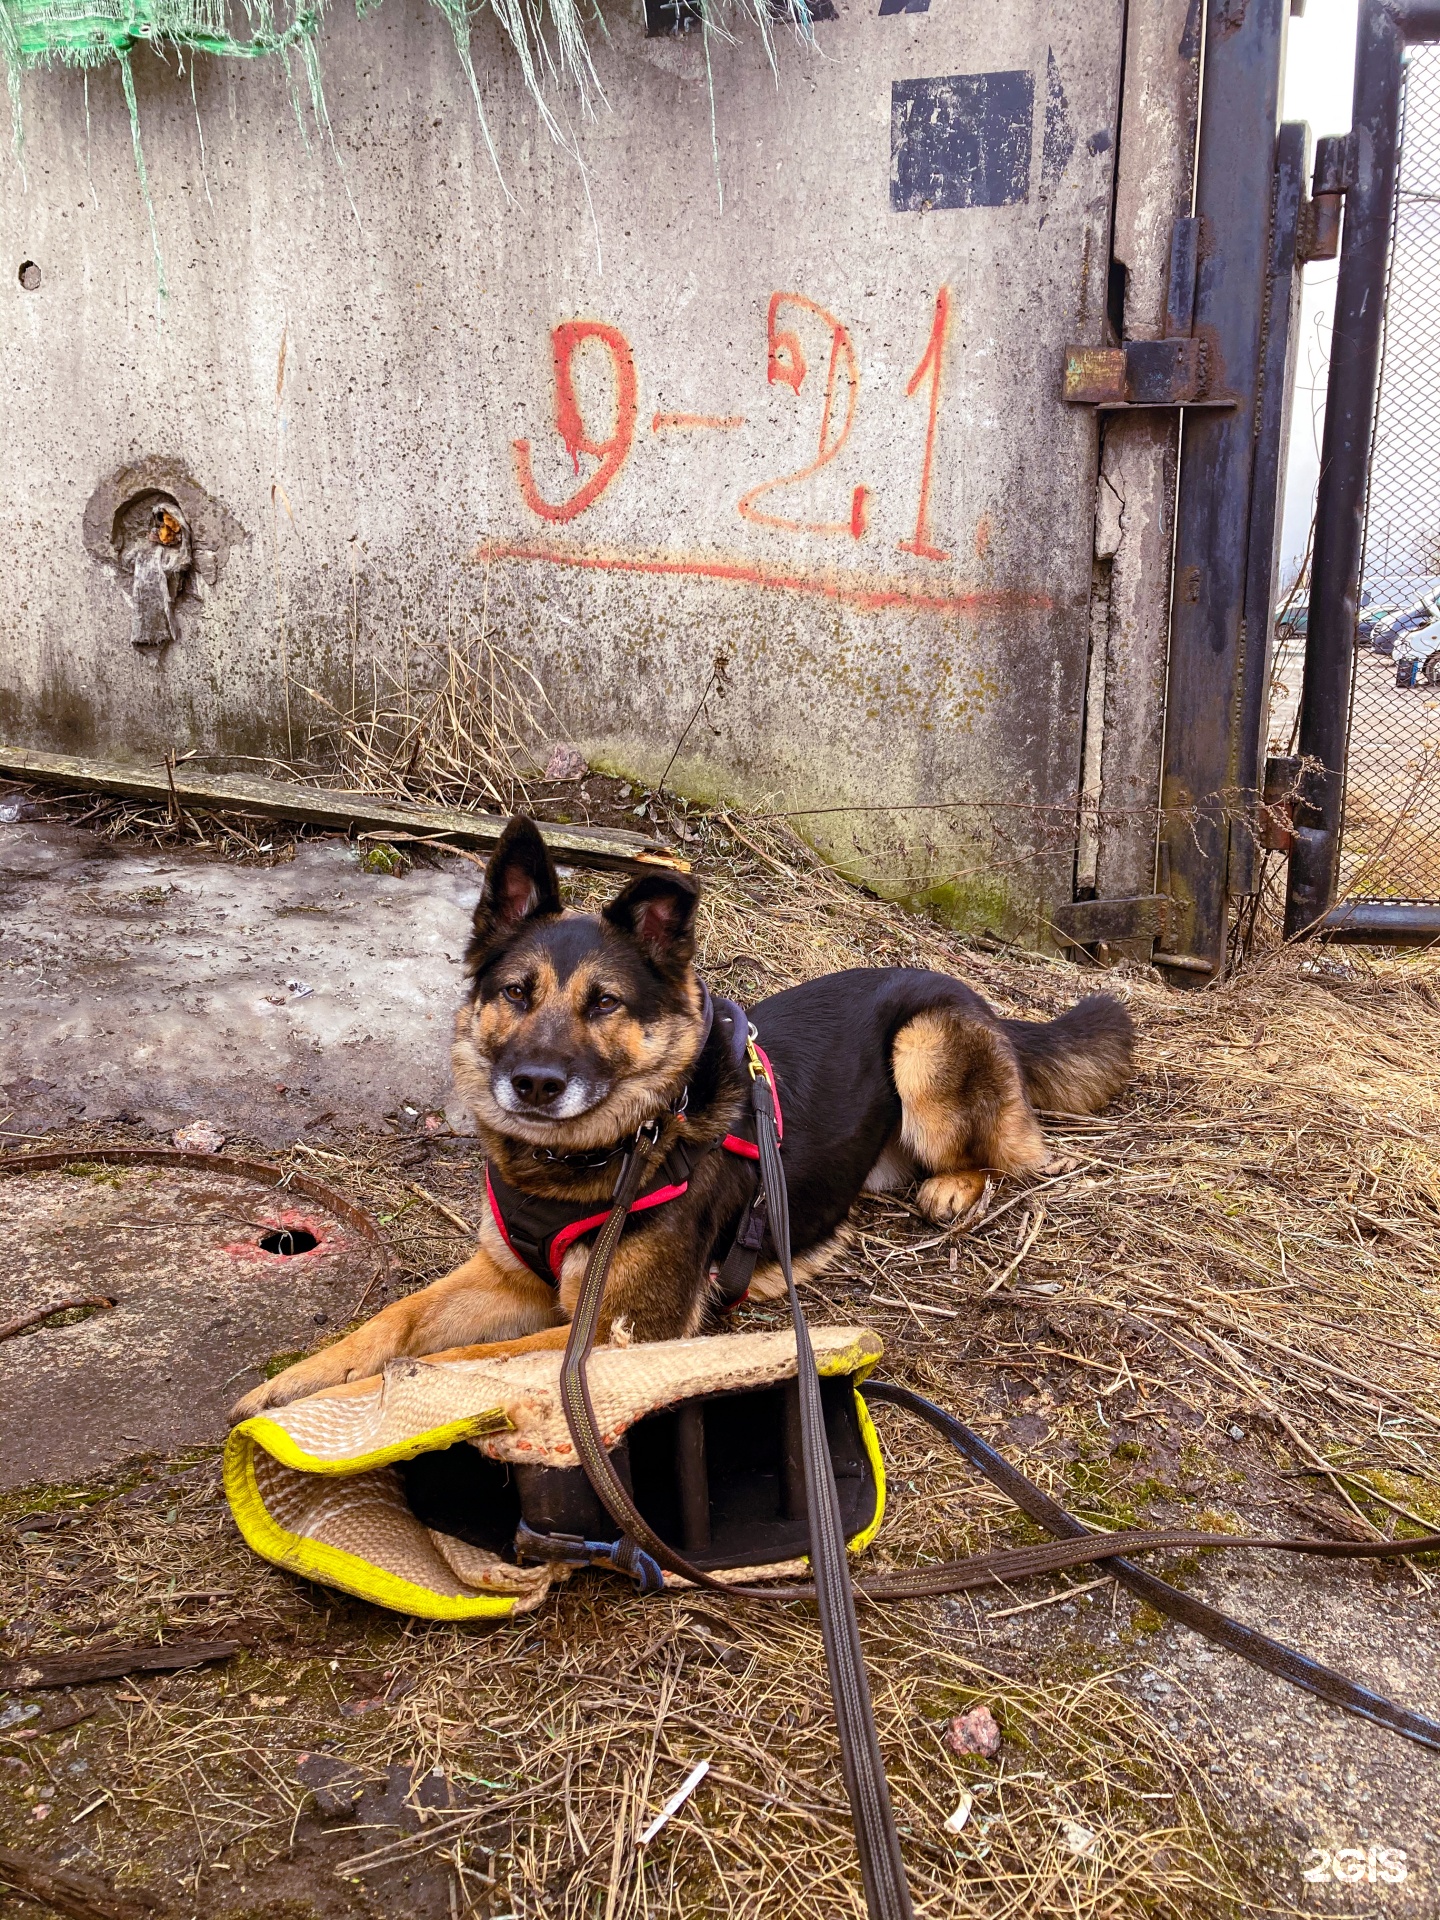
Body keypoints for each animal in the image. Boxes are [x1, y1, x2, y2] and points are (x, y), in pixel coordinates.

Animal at [234, 817, 1136, 1420]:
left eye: (604, 1003)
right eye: (517, 993)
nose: (533, 1085)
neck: (591, 1158)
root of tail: (967, 991)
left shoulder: (613, 1336)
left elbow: (469, 1358)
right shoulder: (501, 1276)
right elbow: (394, 1322)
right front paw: (294, 1382)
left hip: (923, 1045)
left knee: (1015, 1154)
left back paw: (955, 1186)